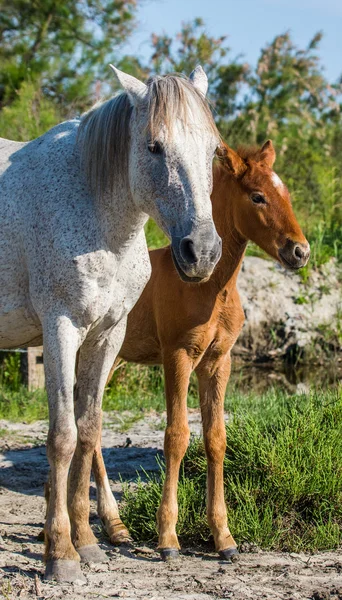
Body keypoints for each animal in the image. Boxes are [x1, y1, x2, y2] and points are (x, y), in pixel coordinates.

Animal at [0, 64, 222, 580]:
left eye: (214, 149)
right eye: (154, 146)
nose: (201, 252)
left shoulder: (106, 336)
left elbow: (88, 431)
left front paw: (86, 542)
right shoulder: (61, 329)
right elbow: (62, 437)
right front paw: (60, 555)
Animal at [67, 138, 310, 560]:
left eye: (287, 195)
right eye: (258, 196)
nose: (300, 252)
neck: (211, 288)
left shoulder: (217, 361)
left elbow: (215, 438)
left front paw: (224, 537)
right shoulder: (177, 356)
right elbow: (177, 436)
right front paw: (168, 538)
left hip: (108, 359)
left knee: (89, 423)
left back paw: (114, 527)